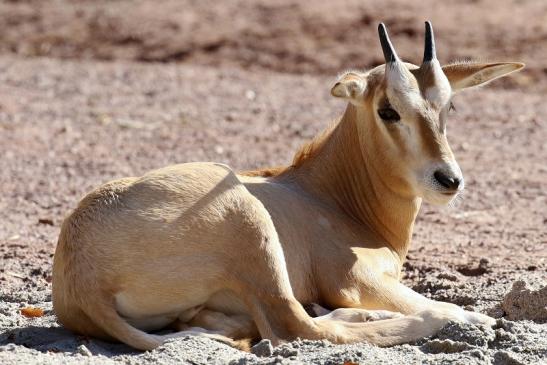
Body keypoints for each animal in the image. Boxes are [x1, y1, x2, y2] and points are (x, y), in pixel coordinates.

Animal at [53, 22, 524, 350]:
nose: (449, 179)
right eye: (388, 110)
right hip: (250, 225)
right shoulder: (355, 280)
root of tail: (83, 273)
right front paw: (472, 318)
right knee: (295, 326)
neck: (329, 194)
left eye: (448, 106)